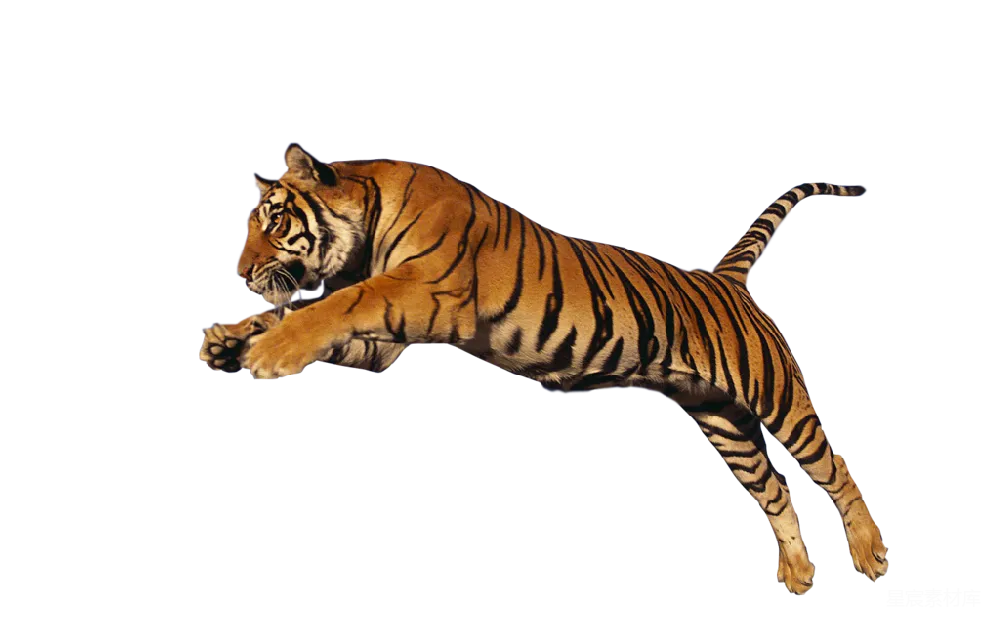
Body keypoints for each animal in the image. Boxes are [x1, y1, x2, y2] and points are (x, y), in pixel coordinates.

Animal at [200, 143, 886, 593]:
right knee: (773, 491)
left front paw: (269, 351)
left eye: (276, 220)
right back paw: (798, 574)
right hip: (721, 420)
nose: (242, 272)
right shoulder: (382, 343)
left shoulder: (423, 293)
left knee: (834, 469)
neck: (365, 231)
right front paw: (229, 340)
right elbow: (305, 312)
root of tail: (726, 278)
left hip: (776, 396)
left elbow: (332, 305)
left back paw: (873, 556)